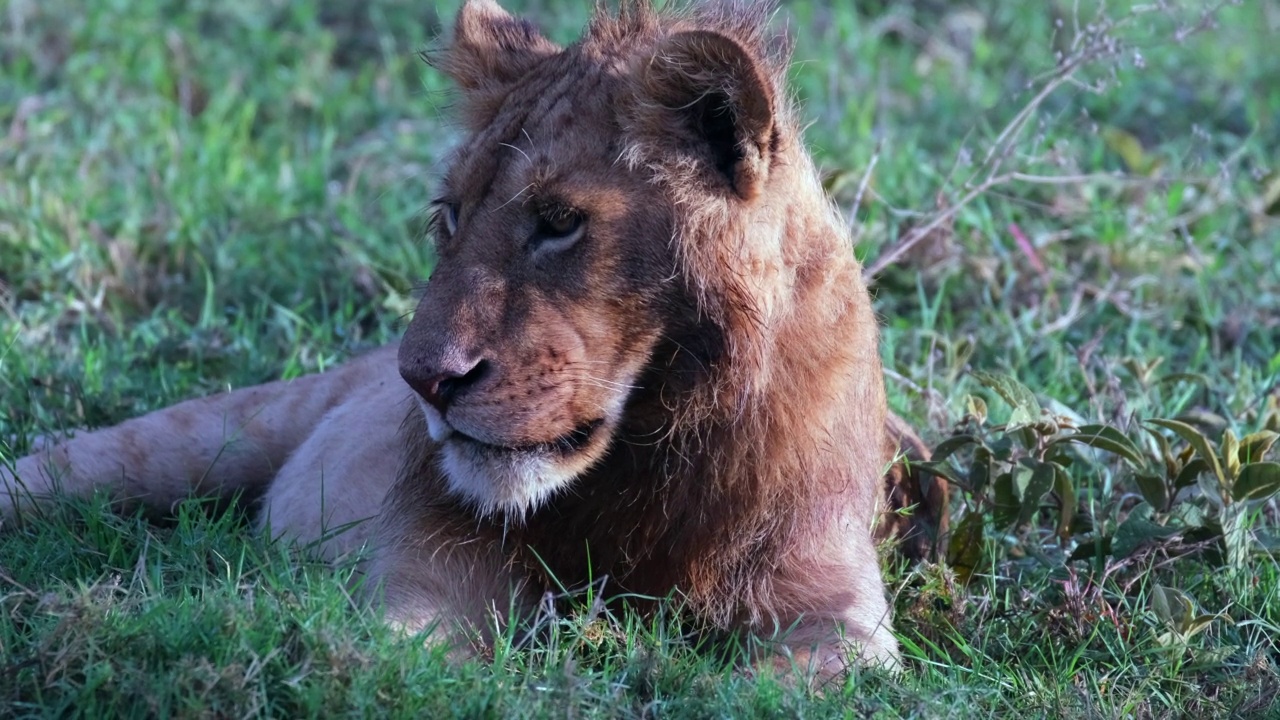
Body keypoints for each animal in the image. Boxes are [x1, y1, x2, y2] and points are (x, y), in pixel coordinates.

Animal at [0, 0, 947, 676]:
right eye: (449, 215)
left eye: (559, 223)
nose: (423, 379)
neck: (654, 446)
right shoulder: (424, 573)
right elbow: (413, 656)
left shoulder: (831, 612)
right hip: (175, 445)